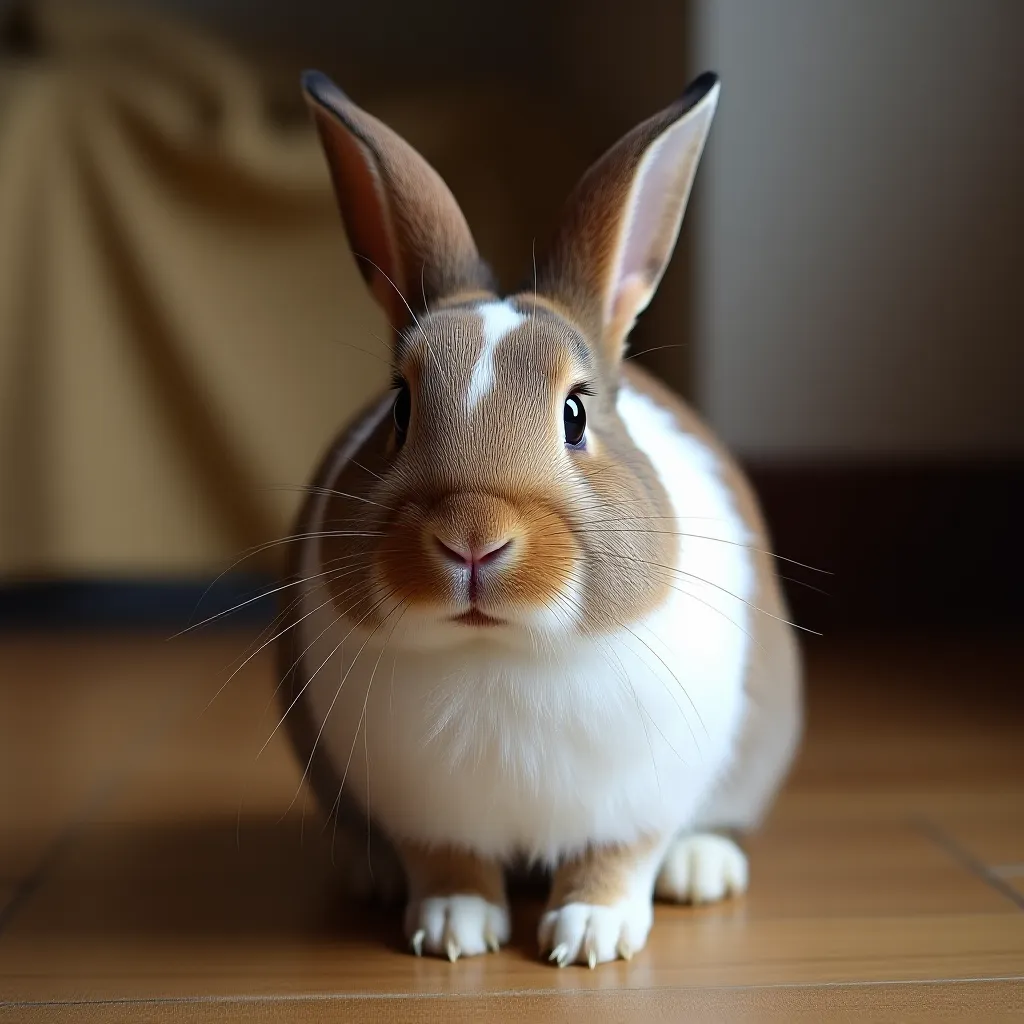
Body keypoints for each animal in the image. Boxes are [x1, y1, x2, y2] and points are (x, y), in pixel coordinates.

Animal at [277, 68, 802, 968]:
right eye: (400, 408)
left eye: (575, 414)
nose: (472, 539)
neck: (501, 650)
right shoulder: (426, 812)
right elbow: (448, 860)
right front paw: (451, 929)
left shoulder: (640, 799)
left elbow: (617, 856)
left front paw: (592, 934)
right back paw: (372, 877)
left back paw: (701, 868)